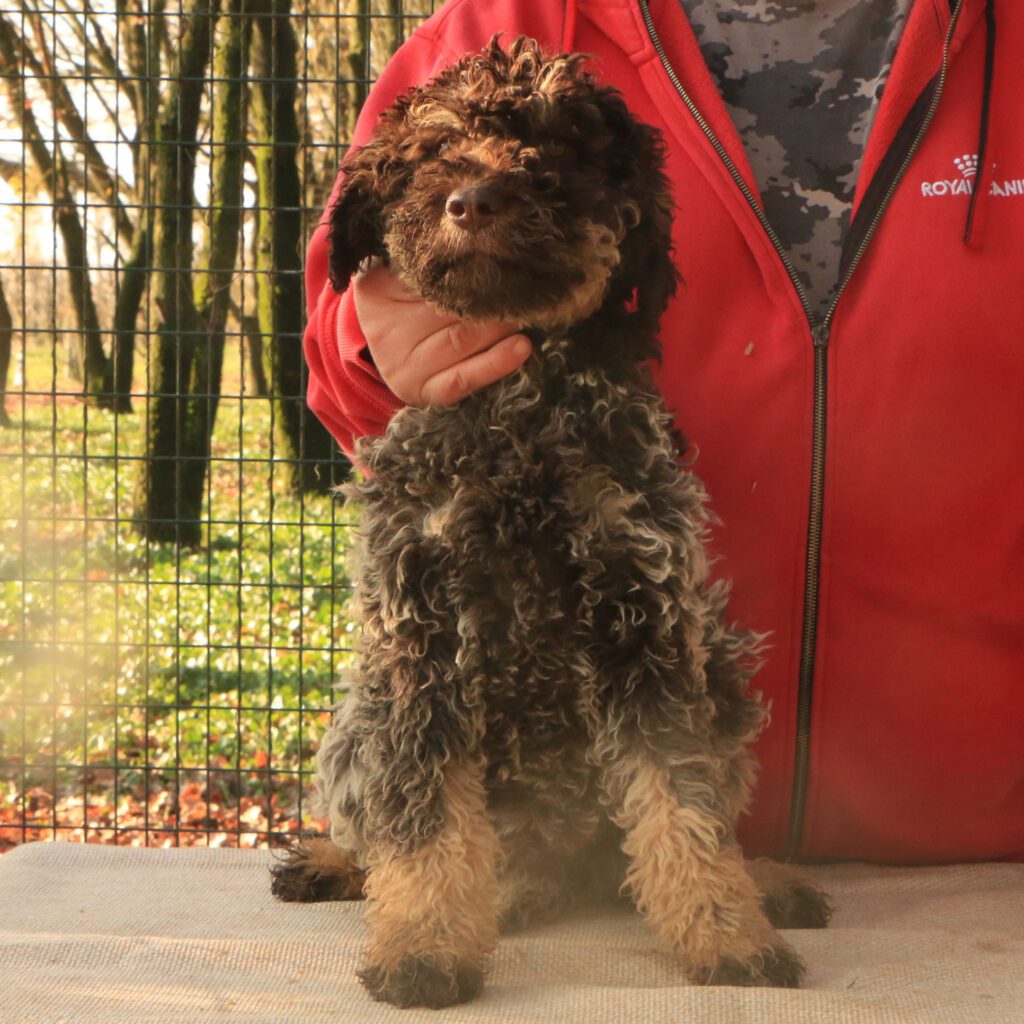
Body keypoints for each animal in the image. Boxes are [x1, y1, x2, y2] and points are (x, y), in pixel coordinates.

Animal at [272, 34, 831, 1007]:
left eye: (562, 145)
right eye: (434, 149)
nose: (475, 199)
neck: (519, 416)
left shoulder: (646, 617)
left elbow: (681, 803)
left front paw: (726, 931)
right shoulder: (417, 640)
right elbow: (421, 812)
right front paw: (423, 941)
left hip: (718, 658)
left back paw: (761, 882)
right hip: (359, 712)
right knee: (377, 813)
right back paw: (343, 864)